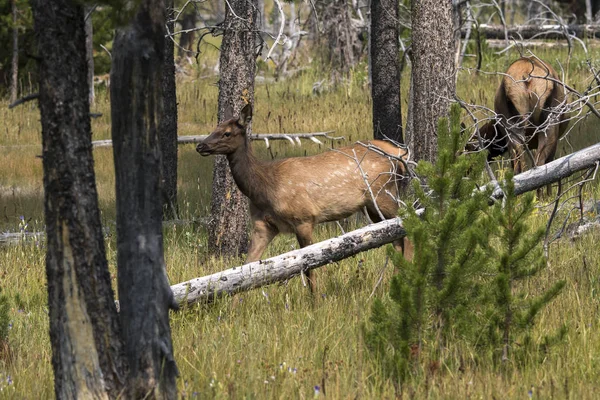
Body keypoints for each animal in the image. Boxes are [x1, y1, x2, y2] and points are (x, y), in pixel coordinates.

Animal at [197, 104, 412, 292]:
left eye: (227, 133)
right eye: (214, 128)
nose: (200, 145)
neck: (264, 188)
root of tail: (399, 152)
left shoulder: (304, 218)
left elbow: (310, 268)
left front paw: (315, 303)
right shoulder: (263, 225)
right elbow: (246, 268)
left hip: (384, 195)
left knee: (407, 228)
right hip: (373, 207)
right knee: (396, 240)